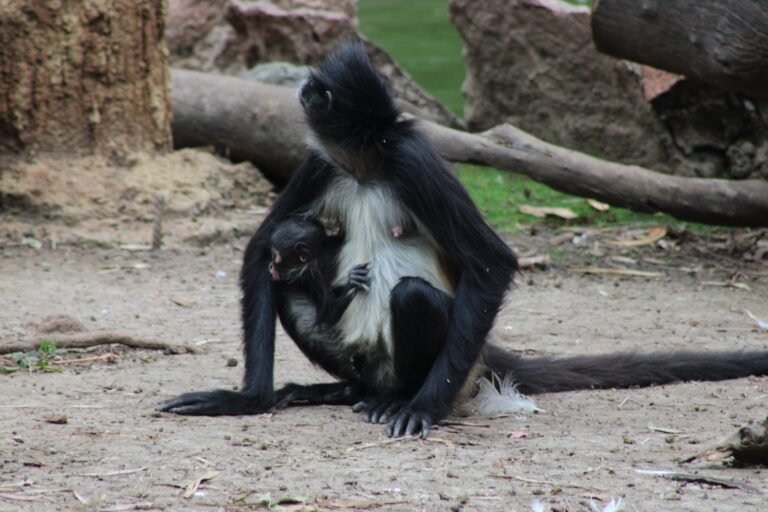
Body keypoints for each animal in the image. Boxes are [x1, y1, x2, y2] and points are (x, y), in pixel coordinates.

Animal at [158, 41, 768, 438]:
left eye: (319, 89)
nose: (303, 90)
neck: (368, 166)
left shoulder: (415, 161)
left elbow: (491, 262)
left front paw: (425, 410)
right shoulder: (321, 162)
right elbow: (264, 249)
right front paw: (248, 400)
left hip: (443, 362)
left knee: (411, 295)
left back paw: (398, 399)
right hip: (356, 356)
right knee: (288, 285)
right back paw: (344, 391)